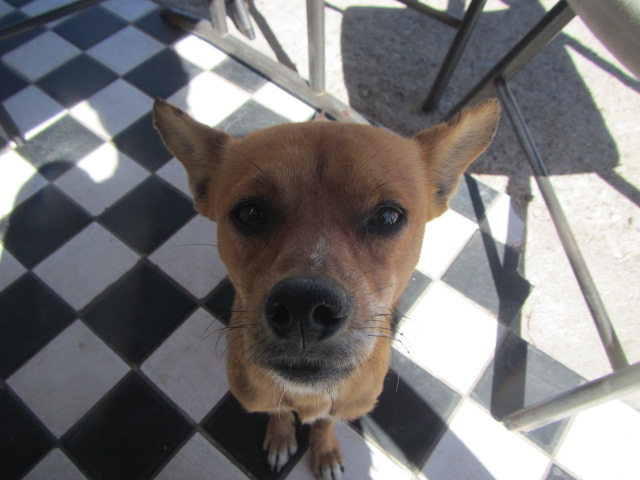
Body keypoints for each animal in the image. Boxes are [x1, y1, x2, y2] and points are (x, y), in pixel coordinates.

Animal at [153, 98, 499, 478]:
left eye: (388, 217)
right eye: (250, 213)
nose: (303, 306)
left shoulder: (344, 406)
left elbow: (324, 423)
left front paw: (325, 450)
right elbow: (278, 411)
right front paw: (280, 436)